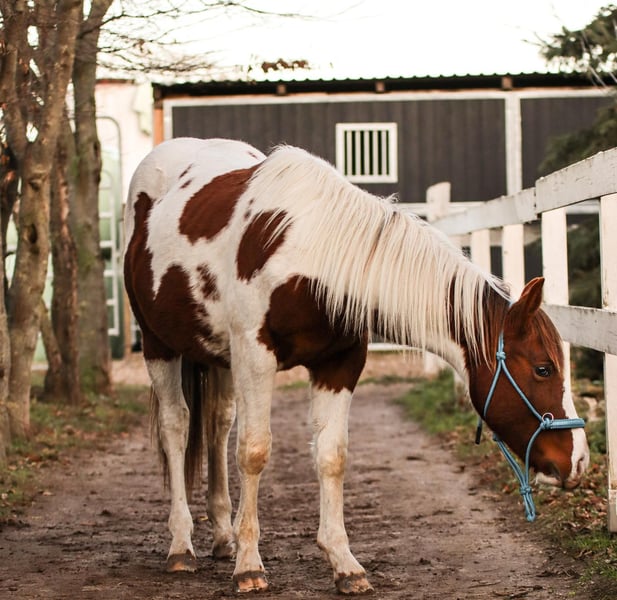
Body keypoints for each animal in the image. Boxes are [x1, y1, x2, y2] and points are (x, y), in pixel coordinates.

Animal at [123, 137, 589, 595]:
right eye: (544, 369)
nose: (580, 461)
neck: (311, 254)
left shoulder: (339, 364)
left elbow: (332, 456)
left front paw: (343, 563)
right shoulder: (254, 356)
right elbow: (254, 452)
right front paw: (250, 565)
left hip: (217, 356)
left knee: (218, 427)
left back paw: (223, 536)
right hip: (159, 346)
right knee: (177, 428)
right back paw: (181, 545)